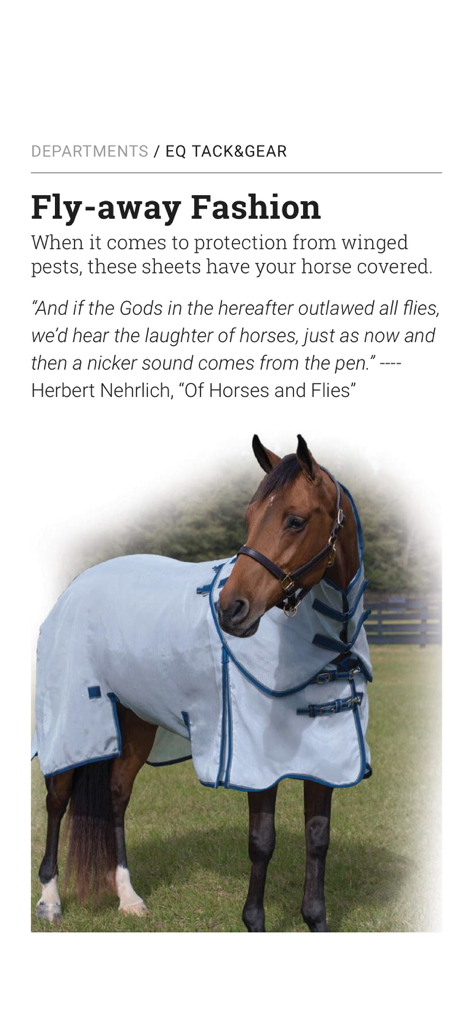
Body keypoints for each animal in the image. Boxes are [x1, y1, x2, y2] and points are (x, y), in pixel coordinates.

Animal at [33, 434, 372, 931]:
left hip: (136, 723)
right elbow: (262, 840)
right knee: (57, 799)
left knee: (117, 796)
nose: (231, 609)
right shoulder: (256, 764)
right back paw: (51, 899)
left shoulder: (325, 762)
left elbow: (317, 839)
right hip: (73, 724)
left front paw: (315, 919)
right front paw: (254, 920)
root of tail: (76, 586)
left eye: (295, 520)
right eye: (249, 516)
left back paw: (128, 897)